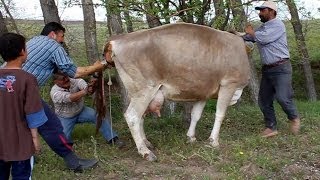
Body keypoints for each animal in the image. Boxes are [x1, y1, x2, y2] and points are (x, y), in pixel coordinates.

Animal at [102, 22, 250, 162]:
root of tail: (117, 39)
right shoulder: (229, 84)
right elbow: (220, 114)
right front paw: (214, 141)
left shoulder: (204, 92)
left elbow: (196, 115)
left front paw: (191, 137)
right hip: (145, 89)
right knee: (132, 116)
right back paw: (145, 152)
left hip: (136, 91)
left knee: (140, 117)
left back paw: (146, 142)